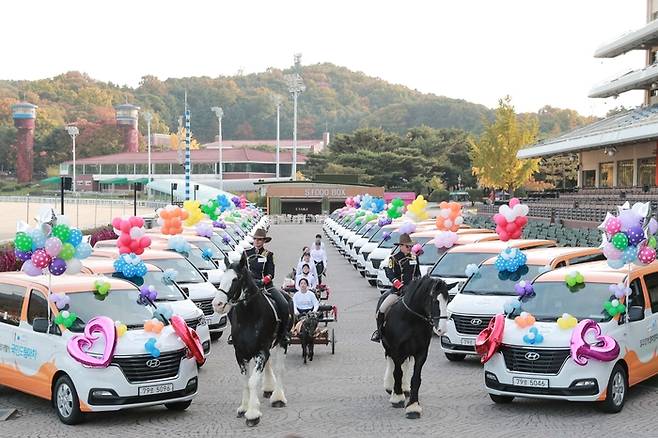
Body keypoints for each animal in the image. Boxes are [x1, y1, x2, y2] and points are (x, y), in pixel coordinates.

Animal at [213, 252, 292, 426]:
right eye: (222, 277)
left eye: (235, 279)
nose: (217, 304)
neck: (250, 318)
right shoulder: (240, 354)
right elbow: (245, 381)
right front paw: (244, 408)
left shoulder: (261, 352)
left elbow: (252, 381)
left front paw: (253, 414)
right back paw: (269, 389)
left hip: (282, 342)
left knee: (279, 368)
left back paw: (278, 397)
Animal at [376, 276, 454, 420]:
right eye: (435, 301)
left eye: (448, 301)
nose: (442, 330)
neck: (411, 319)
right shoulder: (397, 350)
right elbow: (397, 373)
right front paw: (397, 397)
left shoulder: (421, 353)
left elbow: (416, 378)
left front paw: (413, 407)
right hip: (388, 346)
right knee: (391, 362)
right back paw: (391, 387)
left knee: (405, 364)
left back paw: (405, 388)